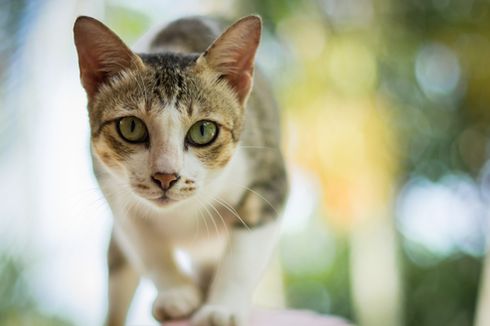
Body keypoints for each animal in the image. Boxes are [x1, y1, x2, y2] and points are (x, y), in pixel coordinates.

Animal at [72, 13, 288, 326]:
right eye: (131, 126)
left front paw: (221, 308)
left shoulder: (269, 179)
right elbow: (148, 248)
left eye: (203, 130)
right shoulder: (114, 193)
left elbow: (243, 255)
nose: (165, 176)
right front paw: (177, 293)